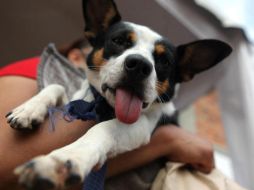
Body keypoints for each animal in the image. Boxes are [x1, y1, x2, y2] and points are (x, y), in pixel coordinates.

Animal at [5, 0, 232, 189]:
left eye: (164, 61)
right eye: (119, 41)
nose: (139, 65)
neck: (103, 104)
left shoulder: (143, 125)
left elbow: (104, 128)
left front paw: (63, 161)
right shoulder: (74, 99)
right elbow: (56, 86)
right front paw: (28, 110)